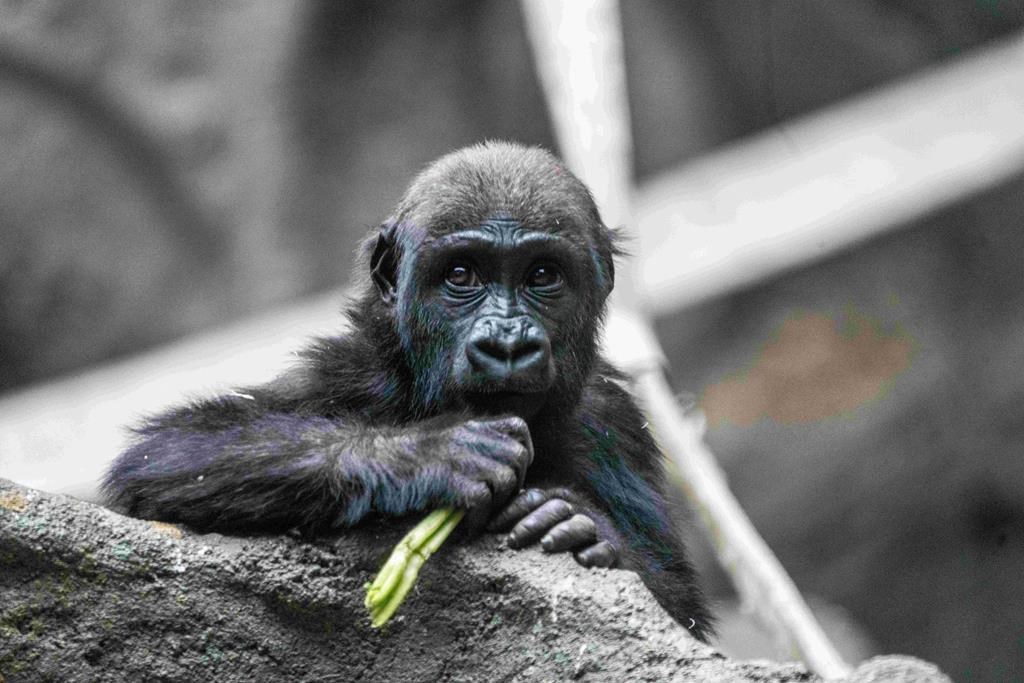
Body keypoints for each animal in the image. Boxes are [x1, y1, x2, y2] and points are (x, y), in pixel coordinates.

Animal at [103, 141, 712, 640]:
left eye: (542, 275)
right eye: (462, 274)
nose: (507, 343)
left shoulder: (614, 420)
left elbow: (680, 605)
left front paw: (578, 525)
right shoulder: (345, 370)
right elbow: (170, 453)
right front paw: (433, 454)